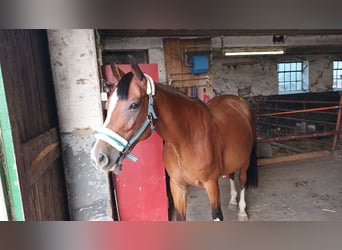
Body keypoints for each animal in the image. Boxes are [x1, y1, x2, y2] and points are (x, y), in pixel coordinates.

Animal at [91, 56, 256, 221]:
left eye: (134, 105)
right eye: (108, 103)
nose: (99, 156)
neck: (185, 140)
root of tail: (237, 101)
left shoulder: (212, 184)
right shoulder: (177, 187)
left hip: (245, 161)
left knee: (242, 180)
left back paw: (242, 211)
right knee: (231, 174)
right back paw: (233, 201)